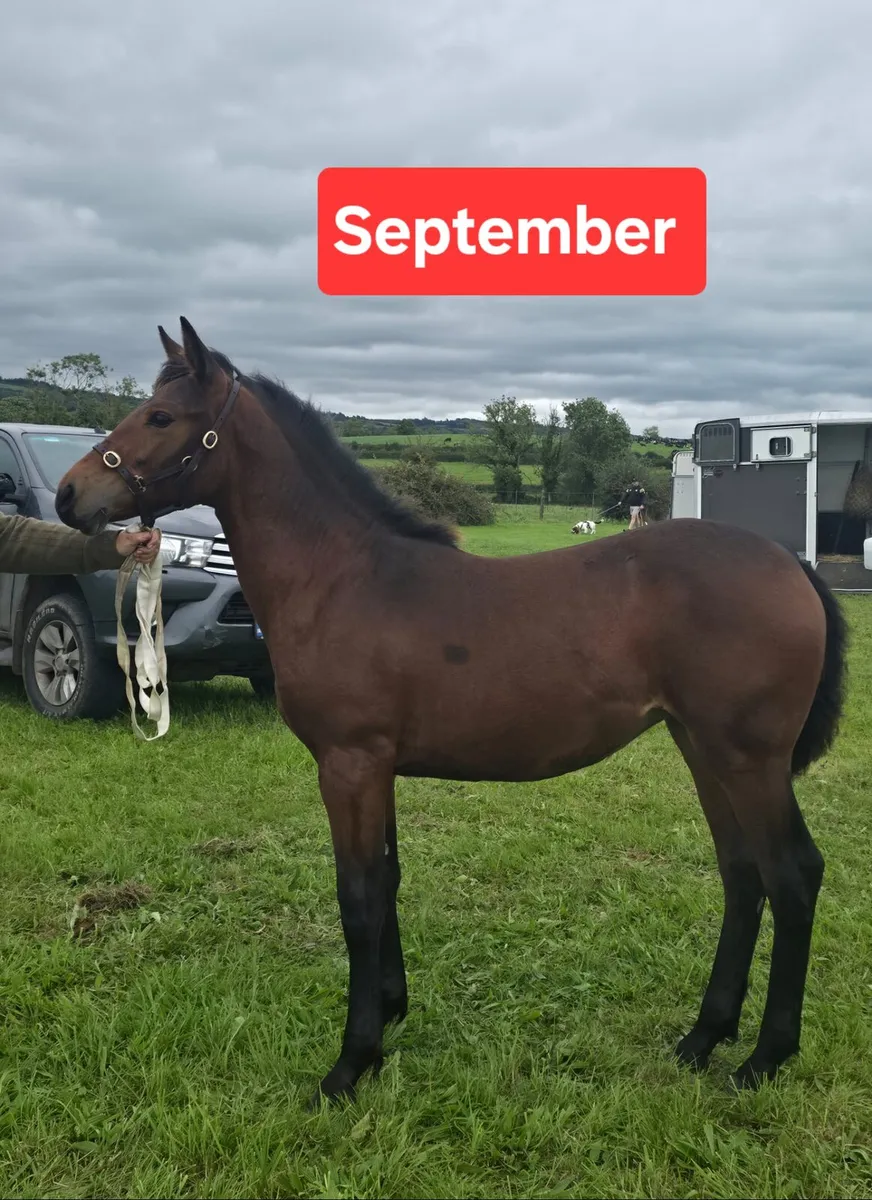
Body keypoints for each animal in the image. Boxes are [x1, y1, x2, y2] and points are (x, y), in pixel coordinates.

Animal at [55, 318, 847, 1107]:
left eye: (162, 417)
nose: (69, 495)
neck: (343, 577)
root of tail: (789, 564)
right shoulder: (377, 768)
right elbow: (387, 881)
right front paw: (390, 1012)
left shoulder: (349, 764)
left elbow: (358, 899)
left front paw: (351, 1063)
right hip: (702, 748)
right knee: (742, 876)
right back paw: (703, 1039)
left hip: (748, 760)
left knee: (791, 876)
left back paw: (764, 1058)